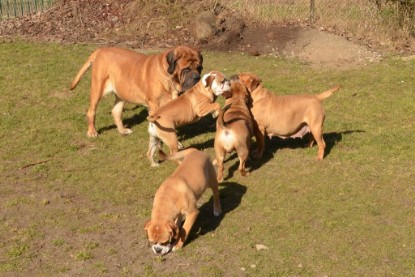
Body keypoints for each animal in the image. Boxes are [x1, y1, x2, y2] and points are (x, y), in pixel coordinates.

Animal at [69, 45, 203, 137]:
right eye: (186, 69)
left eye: (199, 68)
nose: (197, 78)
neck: (169, 77)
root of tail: (100, 50)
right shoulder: (155, 106)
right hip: (98, 88)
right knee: (91, 111)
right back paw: (92, 132)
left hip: (122, 93)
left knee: (116, 111)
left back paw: (123, 130)